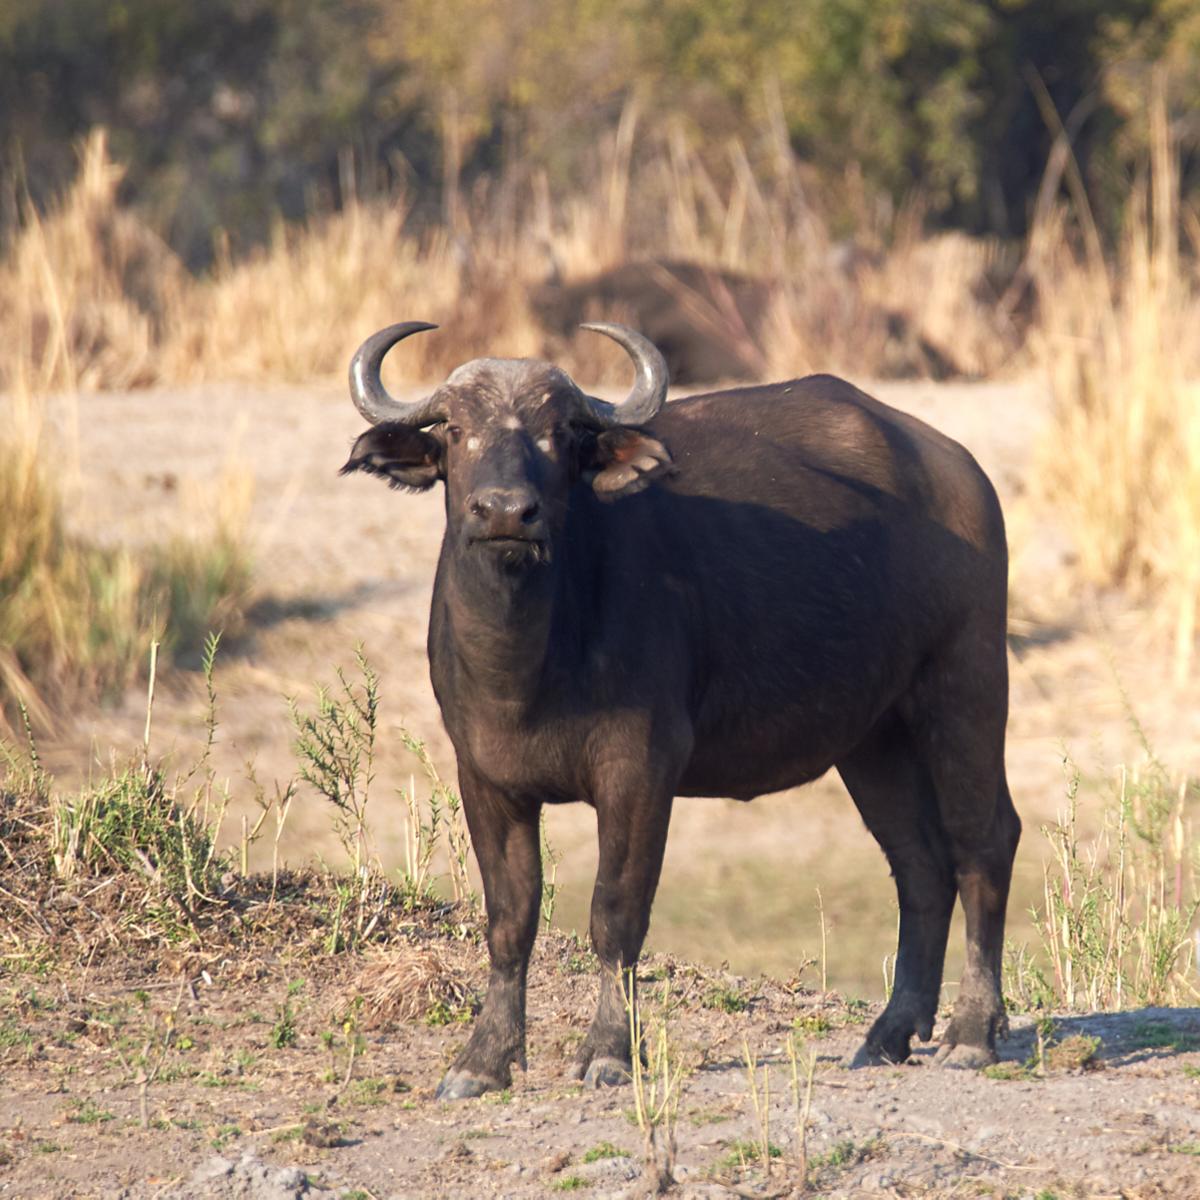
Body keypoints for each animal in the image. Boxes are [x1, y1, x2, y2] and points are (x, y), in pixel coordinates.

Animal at [340, 321, 1020, 1101]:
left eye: (560, 433)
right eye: (455, 428)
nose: (507, 511)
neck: (530, 661)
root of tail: (961, 473)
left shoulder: (638, 773)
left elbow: (615, 913)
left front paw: (608, 1050)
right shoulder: (485, 779)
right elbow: (510, 920)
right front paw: (482, 1060)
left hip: (966, 686)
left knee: (984, 841)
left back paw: (973, 1034)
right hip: (874, 738)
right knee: (920, 865)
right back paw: (888, 1034)